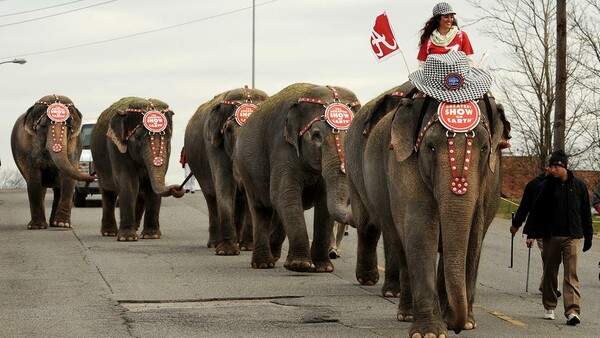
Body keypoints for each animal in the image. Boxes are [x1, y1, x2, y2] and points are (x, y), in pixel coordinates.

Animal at [10, 93, 94, 228]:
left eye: (69, 127)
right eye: (43, 126)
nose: (89, 173)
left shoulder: (75, 144)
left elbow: (68, 177)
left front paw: (63, 225)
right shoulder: (27, 145)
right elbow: (33, 177)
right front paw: (37, 226)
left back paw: (54, 224)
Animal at [91, 96, 185, 242]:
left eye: (168, 137)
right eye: (139, 138)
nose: (178, 188)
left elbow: (150, 187)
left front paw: (152, 235)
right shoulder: (116, 148)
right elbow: (129, 183)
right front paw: (127, 238)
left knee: (139, 196)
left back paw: (134, 228)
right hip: (99, 164)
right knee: (108, 194)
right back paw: (109, 232)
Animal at [183, 86, 268, 255]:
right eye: (228, 131)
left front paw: (248, 247)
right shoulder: (214, 145)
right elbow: (223, 183)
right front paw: (226, 251)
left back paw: (240, 241)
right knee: (211, 197)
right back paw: (214, 243)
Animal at [234, 82, 360, 272]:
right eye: (316, 135)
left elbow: (323, 202)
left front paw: (323, 268)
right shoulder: (281, 147)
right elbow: (285, 194)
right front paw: (300, 265)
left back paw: (275, 256)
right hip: (246, 169)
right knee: (260, 208)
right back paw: (263, 264)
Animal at [346, 70, 510, 336]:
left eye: (485, 148)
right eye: (430, 147)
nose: (457, 327)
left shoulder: (489, 179)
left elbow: (473, 234)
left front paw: (465, 323)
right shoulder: (402, 163)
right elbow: (421, 229)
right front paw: (430, 331)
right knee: (394, 240)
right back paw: (406, 313)